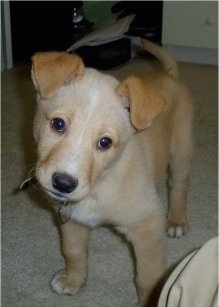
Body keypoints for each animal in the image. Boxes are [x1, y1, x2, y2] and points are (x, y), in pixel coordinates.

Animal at [30, 39, 192, 306]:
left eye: (105, 142)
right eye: (58, 124)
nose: (63, 183)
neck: (100, 184)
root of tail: (169, 75)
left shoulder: (148, 225)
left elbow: (148, 276)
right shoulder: (72, 218)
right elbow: (73, 251)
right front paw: (73, 280)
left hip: (181, 150)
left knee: (178, 185)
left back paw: (177, 221)